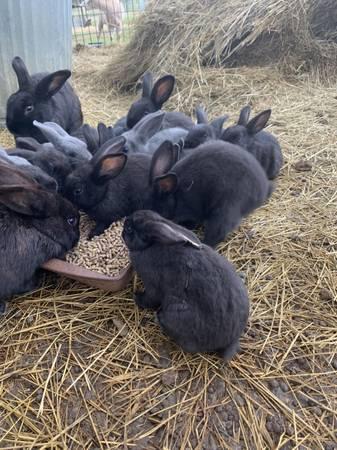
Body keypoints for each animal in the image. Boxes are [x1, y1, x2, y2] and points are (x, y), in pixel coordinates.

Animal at [122, 209, 248, 360]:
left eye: (129, 229)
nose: (123, 227)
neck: (151, 245)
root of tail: (231, 339)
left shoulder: (152, 286)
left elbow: (150, 298)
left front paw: (136, 297)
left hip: (176, 314)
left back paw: (158, 319)